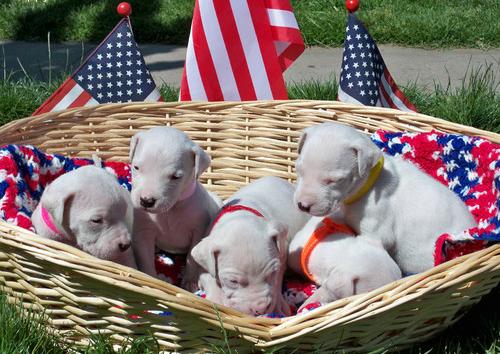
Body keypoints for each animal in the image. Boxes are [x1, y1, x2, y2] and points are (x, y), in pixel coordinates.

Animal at [131, 126, 221, 290]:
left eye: (176, 177)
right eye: (136, 167)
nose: (146, 201)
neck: (171, 209)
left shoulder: (198, 231)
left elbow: (192, 257)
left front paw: (189, 281)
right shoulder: (144, 232)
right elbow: (146, 258)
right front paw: (150, 278)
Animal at [190, 176, 310, 316]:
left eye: (272, 273)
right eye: (233, 281)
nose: (261, 309)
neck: (241, 215)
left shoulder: (282, 254)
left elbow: (278, 278)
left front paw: (278, 305)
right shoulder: (203, 263)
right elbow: (209, 277)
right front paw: (217, 298)